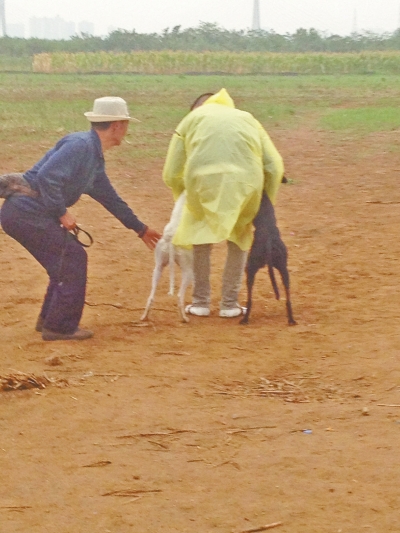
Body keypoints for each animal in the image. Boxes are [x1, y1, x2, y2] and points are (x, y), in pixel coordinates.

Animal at [141, 192, 194, 322]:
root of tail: (171, 238)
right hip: (188, 270)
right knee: (179, 296)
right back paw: (184, 318)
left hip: (158, 267)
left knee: (151, 297)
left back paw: (144, 317)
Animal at [239, 191, 296, 324]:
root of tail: (269, 240)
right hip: (284, 269)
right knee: (288, 297)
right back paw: (291, 319)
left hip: (250, 267)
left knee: (250, 299)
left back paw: (245, 319)